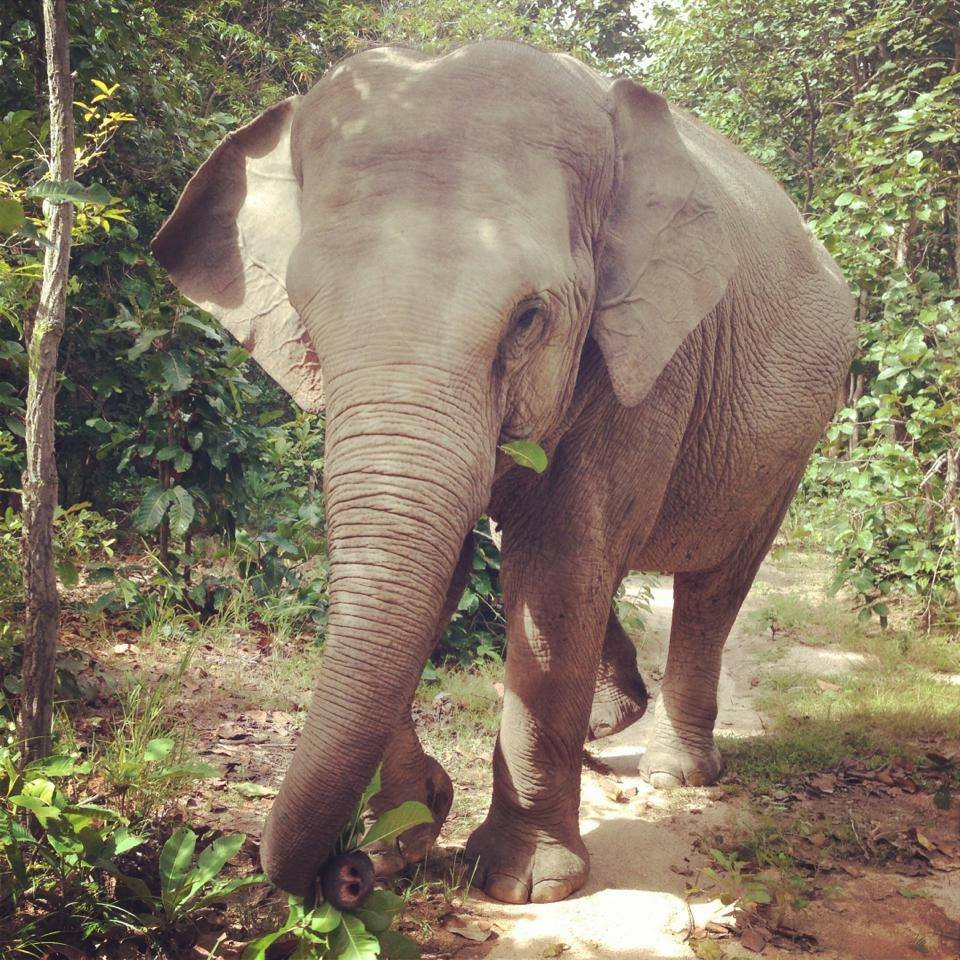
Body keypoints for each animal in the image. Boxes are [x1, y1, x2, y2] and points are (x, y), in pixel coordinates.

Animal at [151, 40, 855, 906]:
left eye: (527, 319)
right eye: (306, 323)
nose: (345, 874)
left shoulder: (648, 356)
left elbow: (557, 565)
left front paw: (520, 883)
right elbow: (444, 561)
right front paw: (408, 831)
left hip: (794, 433)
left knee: (714, 584)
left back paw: (673, 772)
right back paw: (608, 724)